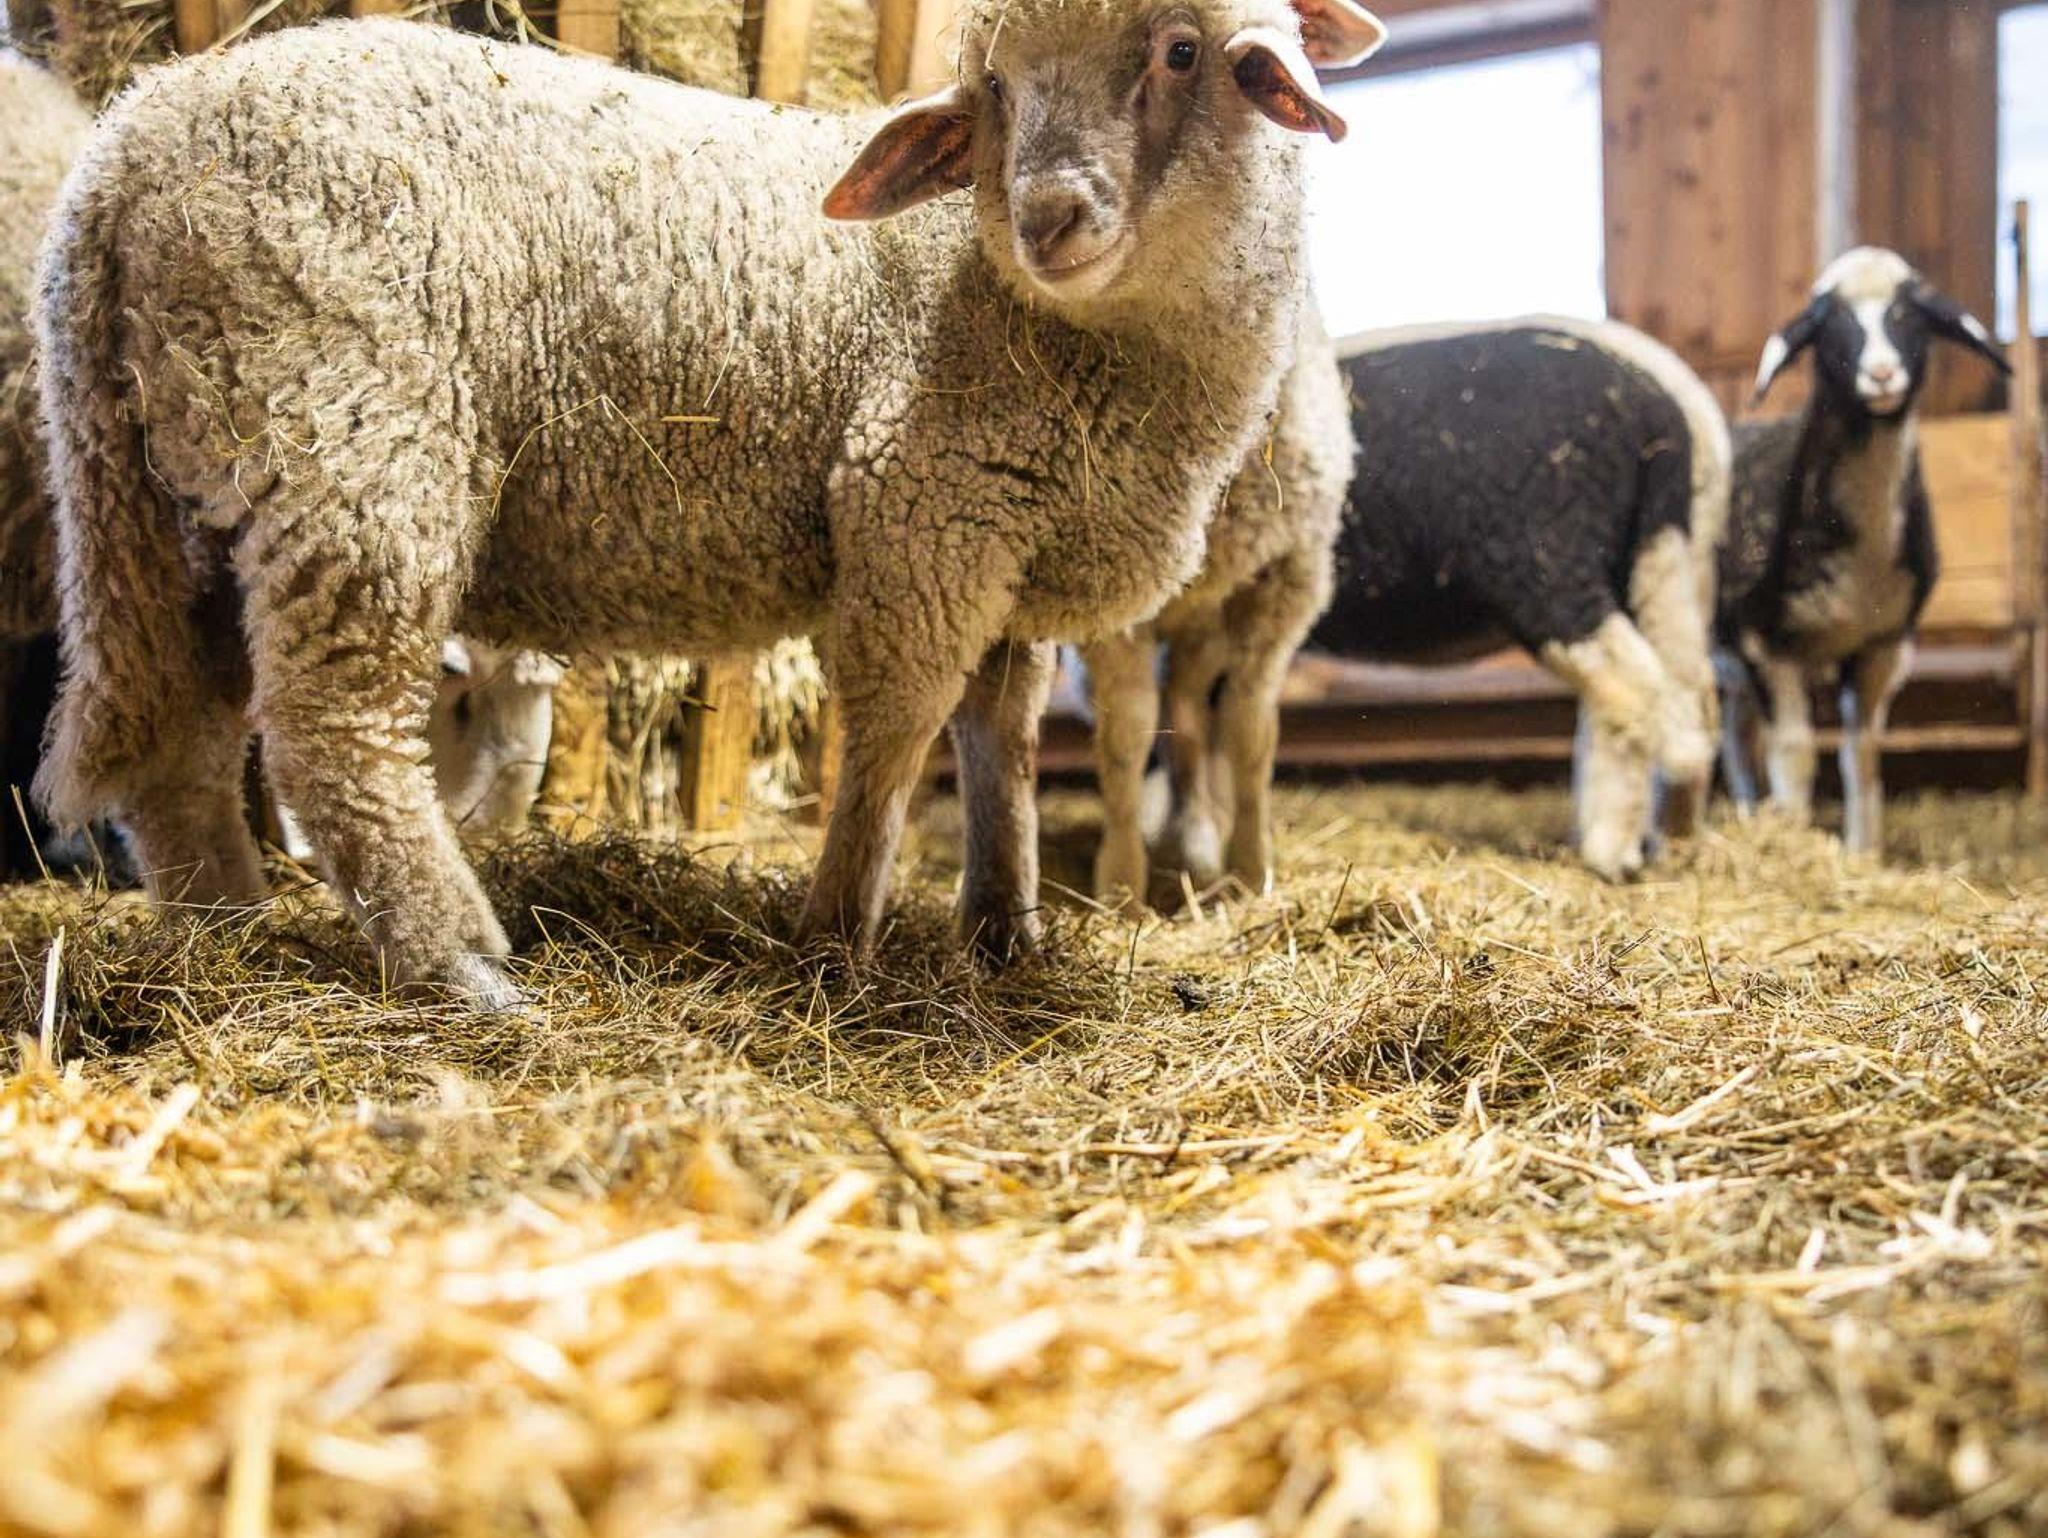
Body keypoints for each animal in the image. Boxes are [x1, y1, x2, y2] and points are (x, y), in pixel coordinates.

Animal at [1084, 304, 1353, 905]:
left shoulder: (1285, 582)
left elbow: (1249, 728)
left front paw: (1252, 870)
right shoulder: (1110, 599)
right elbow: (1125, 733)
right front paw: (1121, 886)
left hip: (1205, 621)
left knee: (1186, 712)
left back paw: (1200, 833)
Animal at [1305, 316, 1732, 881]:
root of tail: (1668, 399)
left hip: (1545, 554)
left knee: (1631, 687)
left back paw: (1611, 852)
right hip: (1669, 560)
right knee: (1689, 699)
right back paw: (1678, 836)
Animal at [1717, 247, 2010, 856]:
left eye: (1907, 316)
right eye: (1831, 325)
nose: (1880, 375)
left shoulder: (1882, 644)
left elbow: (1863, 756)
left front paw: (1863, 851)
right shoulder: (1764, 643)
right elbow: (1795, 754)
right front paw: (1793, 841)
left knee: (1733, 736)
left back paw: (1746, 813)